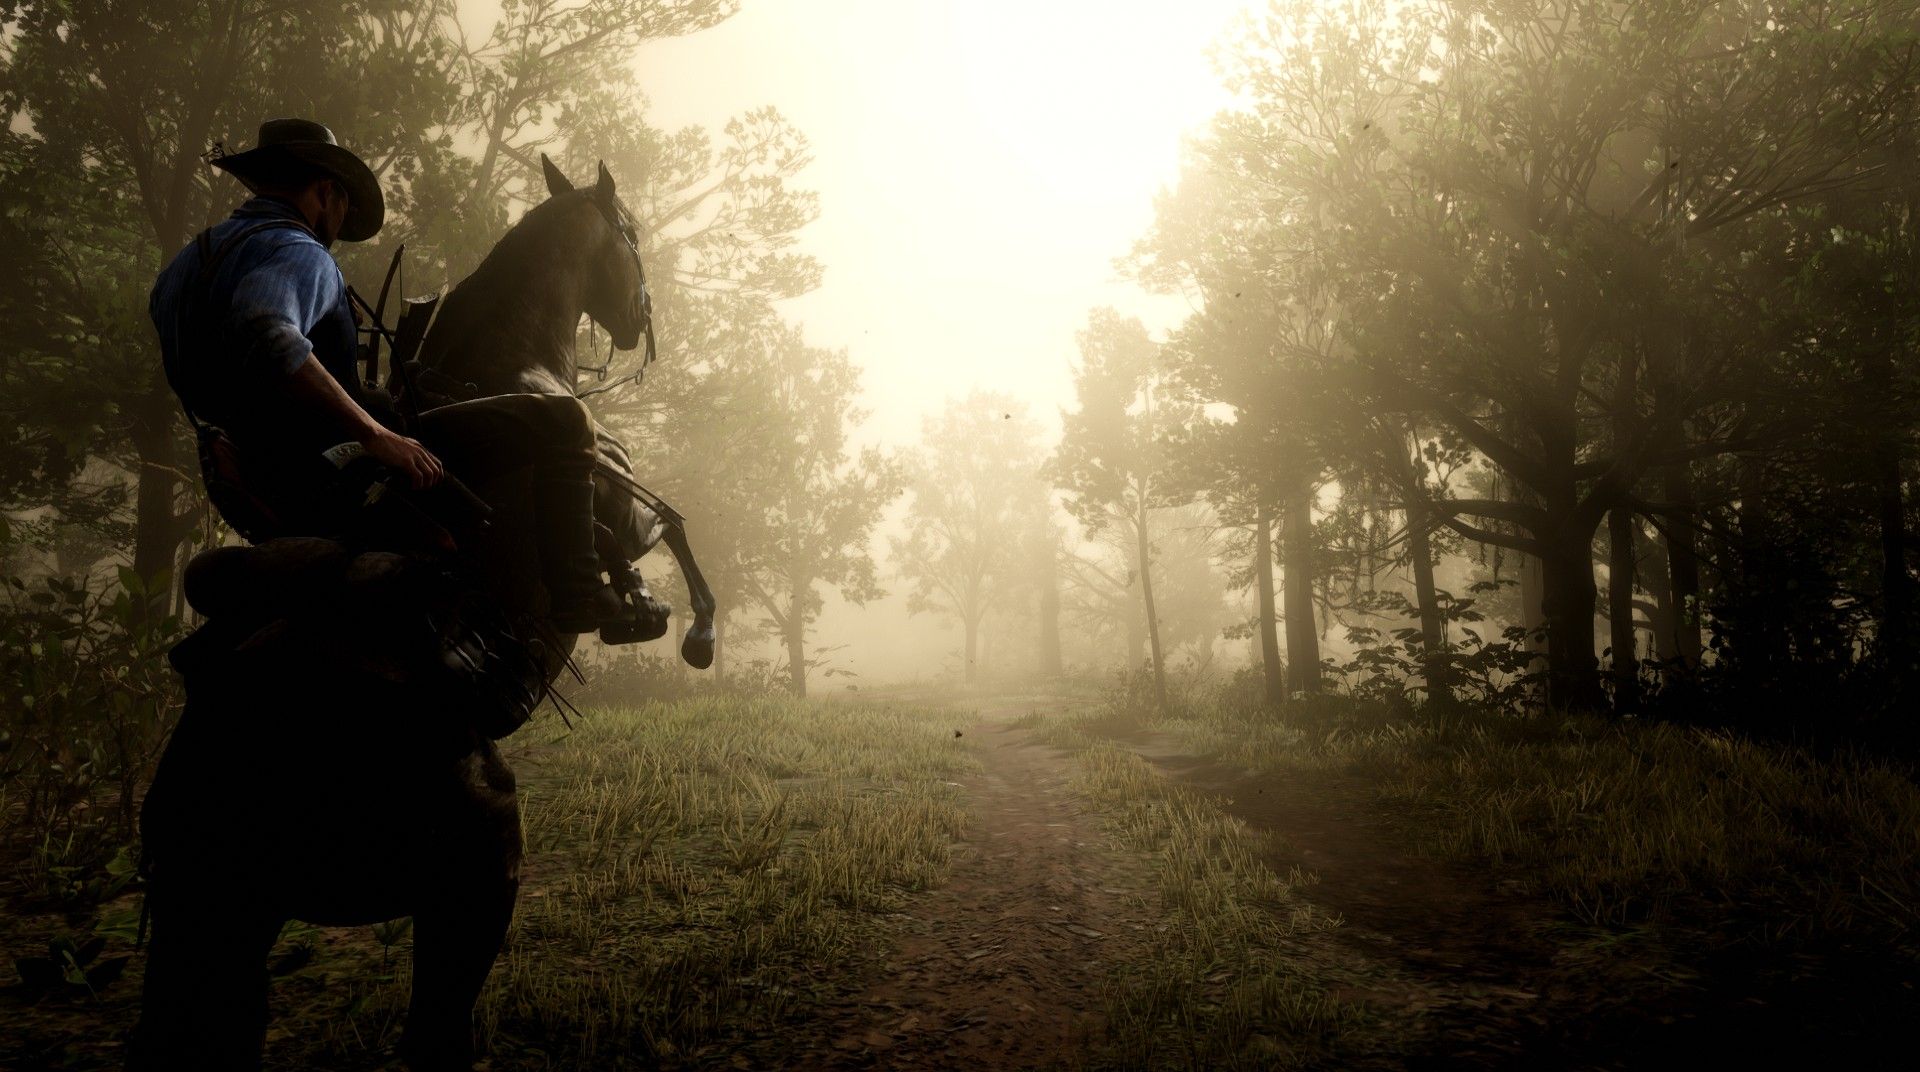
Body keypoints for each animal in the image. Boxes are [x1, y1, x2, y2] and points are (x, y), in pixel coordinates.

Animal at [129, 157, 708, 1071]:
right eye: (634, 237)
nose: (639, 322)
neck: (509, 359)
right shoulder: (614, 497)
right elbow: (669, 531)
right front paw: (679, 623)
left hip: (220, 925)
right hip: (473, 877)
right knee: (436, 1030)